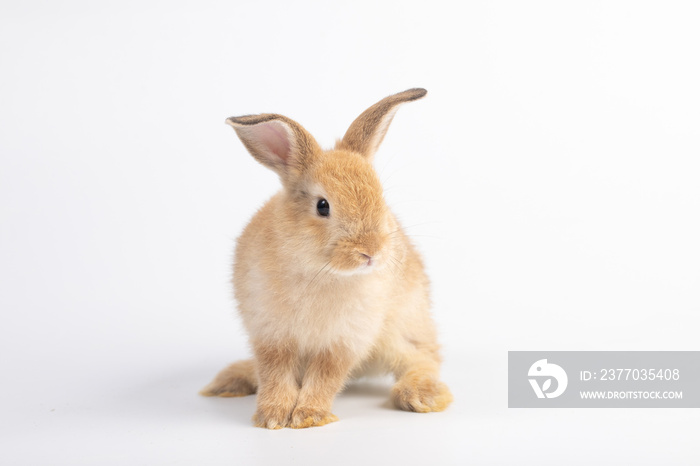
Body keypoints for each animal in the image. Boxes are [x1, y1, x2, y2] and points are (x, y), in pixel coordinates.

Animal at [202, 88, 454, 430]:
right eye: (323, 206)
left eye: (380, 198)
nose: (371, 252)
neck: (319, 270)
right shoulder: (271, 336)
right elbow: (274, 373)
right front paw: (272, 416)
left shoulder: (344, 340)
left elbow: (326, 374)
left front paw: (309, 416)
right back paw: (229, 382)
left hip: (403, 330)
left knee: (424, 359)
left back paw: (421, 396)